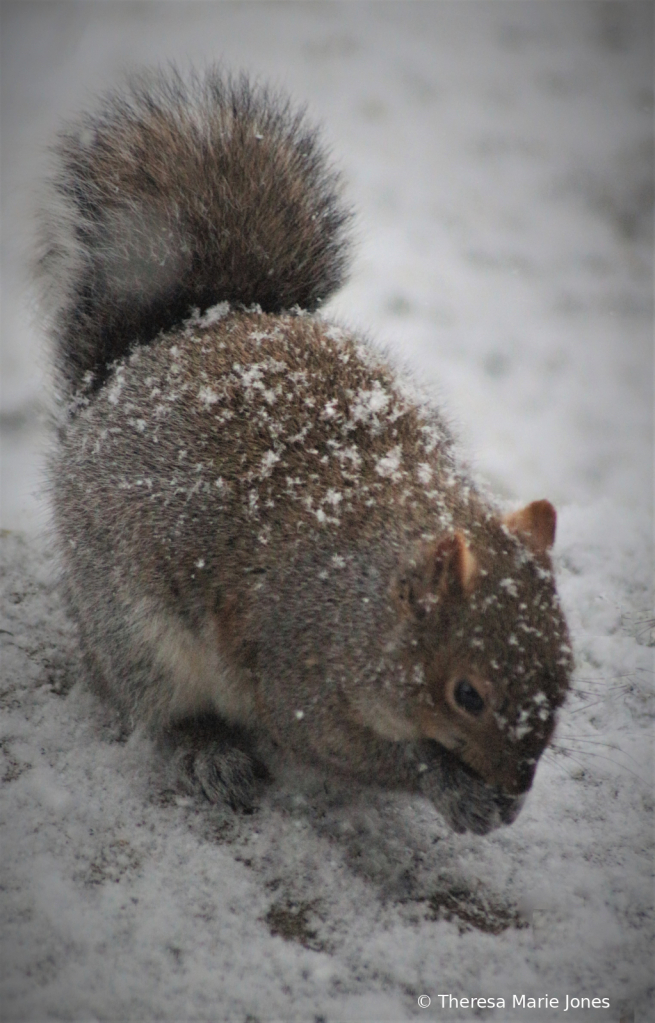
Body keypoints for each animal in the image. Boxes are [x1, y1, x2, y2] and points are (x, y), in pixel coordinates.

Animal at [34, 63, 573, 834]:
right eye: (467, 695)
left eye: (565, 671)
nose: (516, 782)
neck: (366, 603)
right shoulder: (298, 671)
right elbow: (352, 748)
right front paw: (453, 787)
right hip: (132, 627)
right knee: (155, 706)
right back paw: (207, 751)